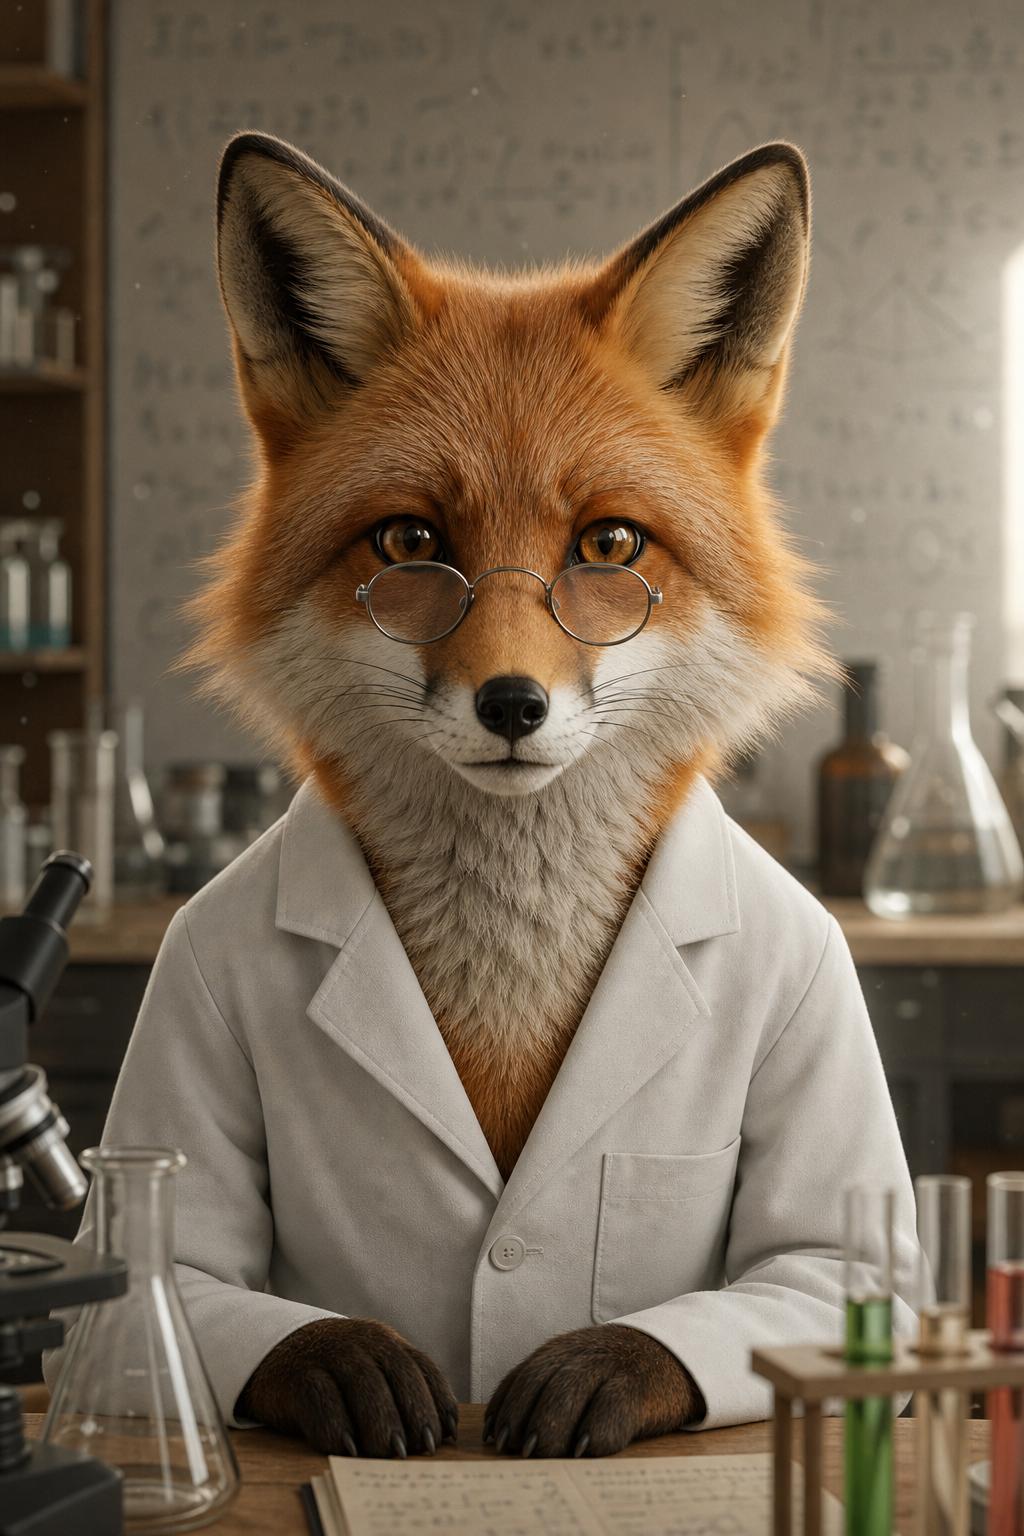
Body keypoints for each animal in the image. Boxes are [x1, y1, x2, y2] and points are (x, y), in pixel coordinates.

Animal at [184, 130, 837, 1460]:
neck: (506, 986)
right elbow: (175, 1280)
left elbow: (815, 1267)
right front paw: (342, 1360)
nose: (512, 706)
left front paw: (602, 1365)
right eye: (408, 542)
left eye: (609, 547)